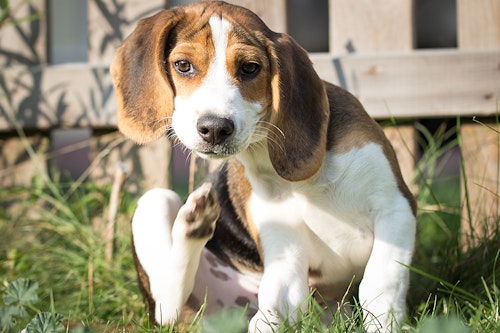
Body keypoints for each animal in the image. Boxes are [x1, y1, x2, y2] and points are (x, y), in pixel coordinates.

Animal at [110, 1, 418, 330]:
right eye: (182, 65)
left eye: (249, 68)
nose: (214, 128)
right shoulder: (286, 251)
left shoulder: (396, 208)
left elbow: (380, 283)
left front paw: (386, 324)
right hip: (155, 202)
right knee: (166, 306)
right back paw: (193, 223)